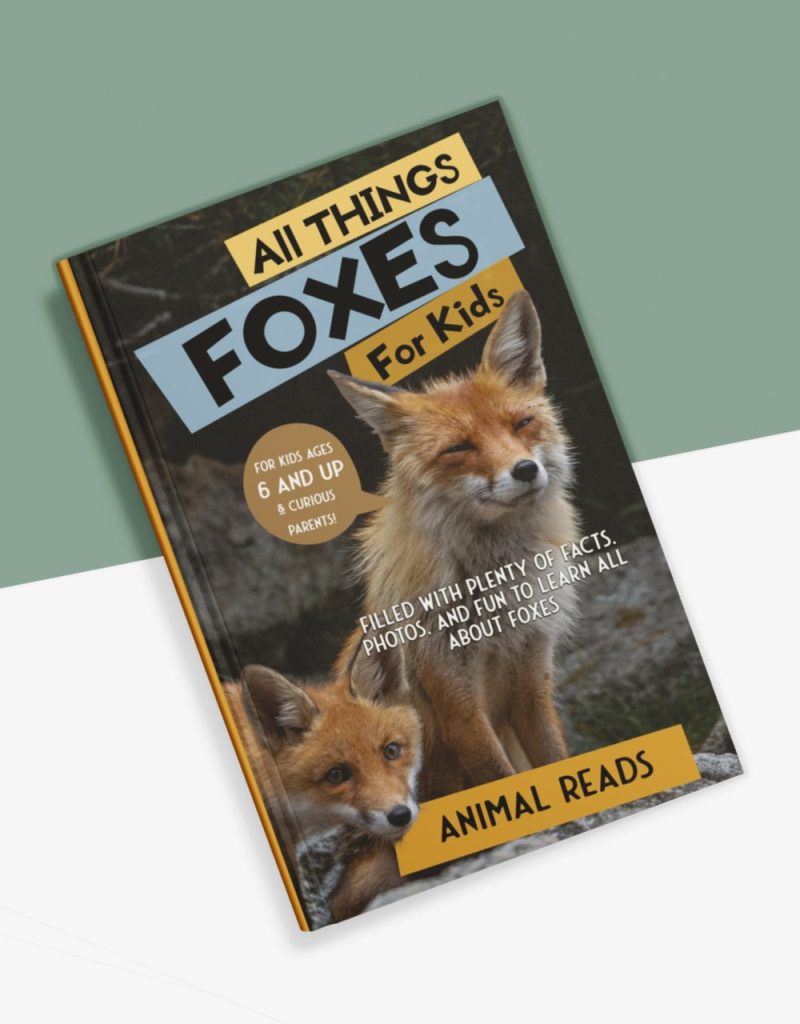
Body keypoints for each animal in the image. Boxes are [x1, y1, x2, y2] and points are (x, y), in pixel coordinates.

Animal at [329, 290, 579, 794]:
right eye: (460, 447)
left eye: (522, 423)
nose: (526, 470)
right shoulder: (455, 700)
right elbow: (498, 773)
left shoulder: (532, 679)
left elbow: (556, 758)